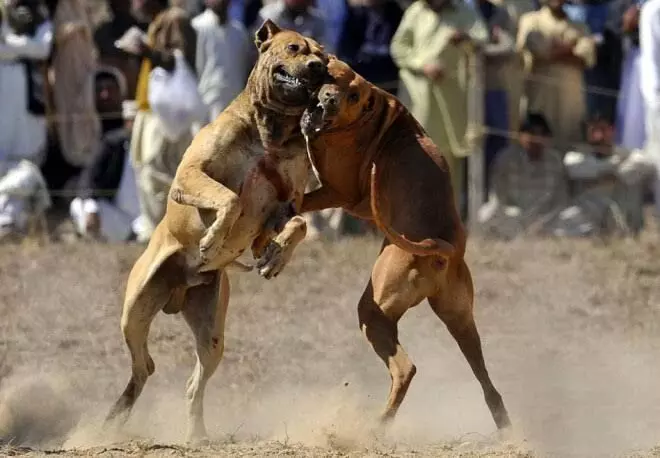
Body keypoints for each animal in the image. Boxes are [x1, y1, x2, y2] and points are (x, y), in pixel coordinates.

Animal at [104, 19, 328, 442]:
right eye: (294, 48)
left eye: (324, 55)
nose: (318, 68)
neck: (270, 133)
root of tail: (178, 291)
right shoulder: (188, 175)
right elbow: (231, 198)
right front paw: (211, 240)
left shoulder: (283, 207)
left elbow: (298, 223)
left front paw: (275, 258)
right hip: (135, 309)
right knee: (144, 365)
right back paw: (115, 416)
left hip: (211, 334)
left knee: (191, 384)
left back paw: (194, 434)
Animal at [300, 55, 510, 432]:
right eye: (334, 78)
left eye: (353, 96)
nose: (329, 102)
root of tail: (441, 246)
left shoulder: (337, 192)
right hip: (461, 321)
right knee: (488, 384)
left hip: (374, 311)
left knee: (406, 369)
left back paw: (378, 424)